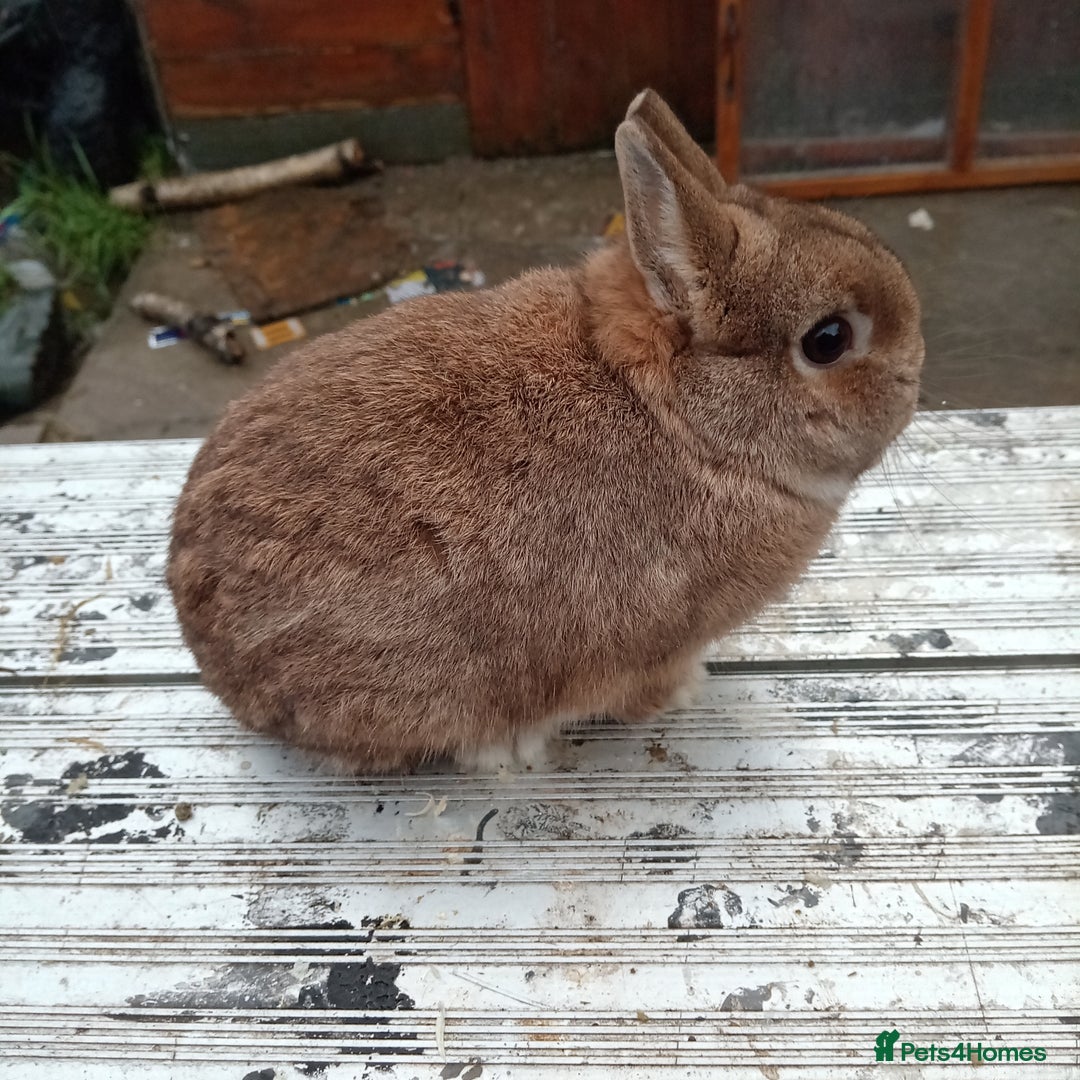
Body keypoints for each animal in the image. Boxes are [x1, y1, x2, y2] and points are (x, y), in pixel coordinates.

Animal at [167, 89, 924, 774]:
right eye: (828, 340)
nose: (916, 371)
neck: (686, 424)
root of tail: (217, 665)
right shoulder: (652, 640)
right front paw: (681, 695)